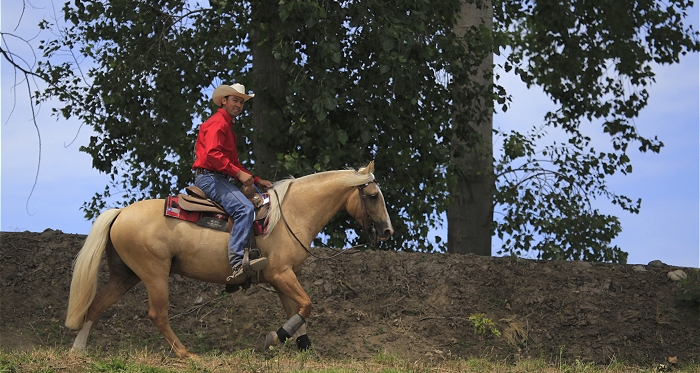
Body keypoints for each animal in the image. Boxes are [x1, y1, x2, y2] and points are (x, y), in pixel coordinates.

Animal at [65, 161, 394, 358]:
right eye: (373, 196)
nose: (387, 231)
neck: (291, 213)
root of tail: (120, 213)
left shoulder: (283, 278)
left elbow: (298, 310)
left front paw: (301, 347)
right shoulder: (280, 274)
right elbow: (307, 305)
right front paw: (275, 337)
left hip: (125, 275)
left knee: (95, 306)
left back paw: (78, 351)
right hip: (154, 274)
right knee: (157, 314)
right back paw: (186, 354)